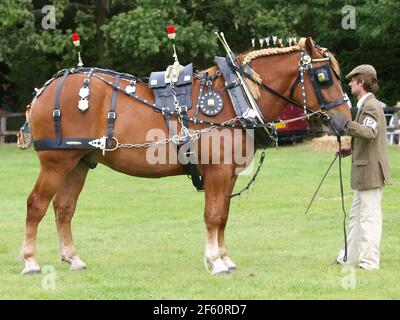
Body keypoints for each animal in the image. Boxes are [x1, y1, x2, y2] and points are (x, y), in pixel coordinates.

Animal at [18, 37, 352, 276]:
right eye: (324, 77)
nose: (345, 123)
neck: (236, 96)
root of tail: (45, 89)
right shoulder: (217, 171)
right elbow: (213, 216)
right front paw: (216, 262)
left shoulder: (229, 174)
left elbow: (223, 217)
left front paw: (225, 258)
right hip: (56, 161)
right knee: (36, 205)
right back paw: (31, 262)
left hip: (78, 162)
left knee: (64, 208)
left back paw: (72, 258)